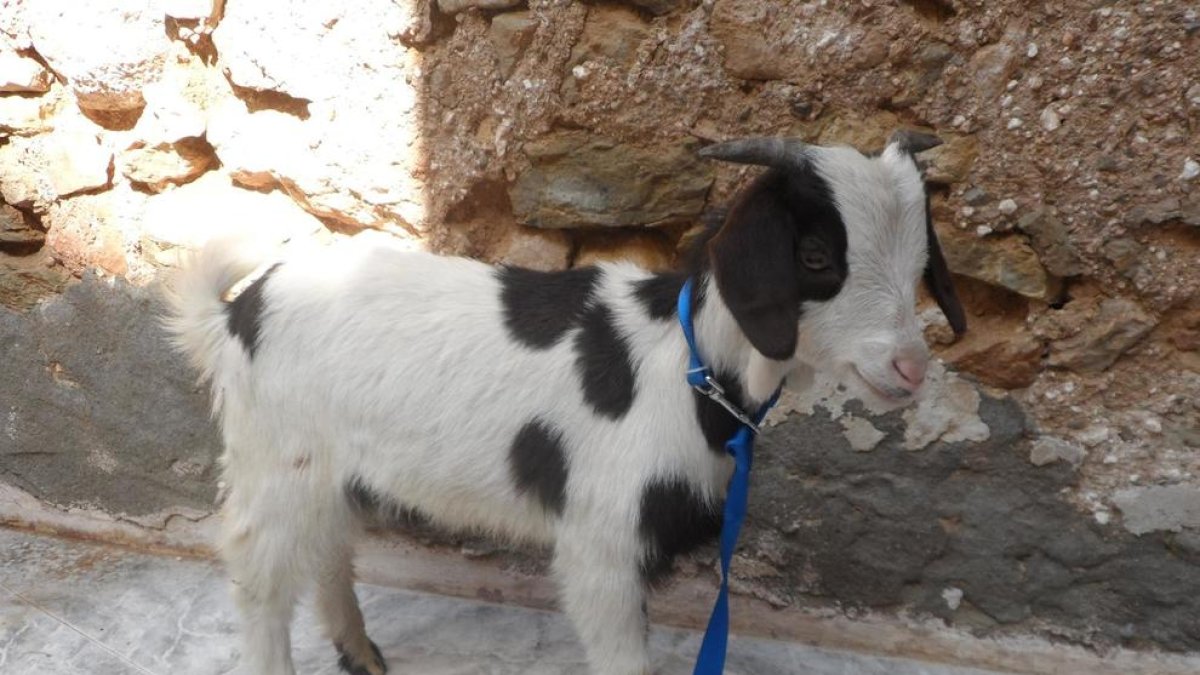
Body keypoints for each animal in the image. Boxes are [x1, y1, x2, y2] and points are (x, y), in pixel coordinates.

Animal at [165, 133, 965, 675]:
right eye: (816, 257)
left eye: (921, 260)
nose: (910, 368)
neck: (688, 366)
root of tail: (236, 314)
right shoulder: (602, 543)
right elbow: (622, 655)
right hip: (275, 461)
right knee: (259, 578)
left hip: (328, 468)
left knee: (329, 547)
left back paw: (360, 651)